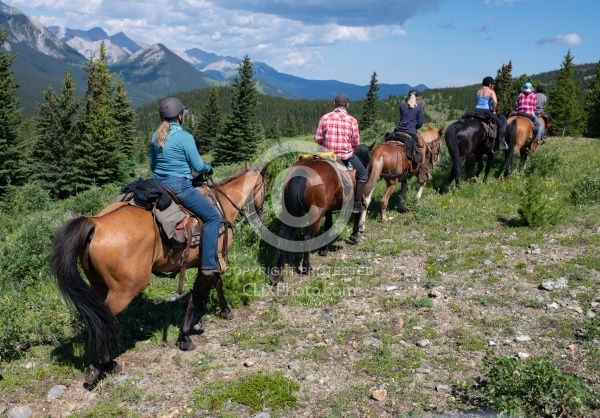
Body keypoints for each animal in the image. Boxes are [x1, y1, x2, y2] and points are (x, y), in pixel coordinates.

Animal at [51, 165, 268, 386]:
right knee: (103, 319)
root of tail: (96, 223)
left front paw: (225, 310)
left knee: (95, 319)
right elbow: (196, 296)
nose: (261, 214)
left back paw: (104, 363)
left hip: (99, 285)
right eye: (266, 187)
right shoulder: (209, 261)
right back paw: (101, 366)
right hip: (126, 289)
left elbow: (217, 284)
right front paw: (185, 338)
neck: (221, 204)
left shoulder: (209, 260)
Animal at [268, 144, 370, 284]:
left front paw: (324, 249)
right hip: (316, 215)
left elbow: (328, 226)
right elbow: (357, 214)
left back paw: (276, 273)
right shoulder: (355, 202)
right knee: (308, 238)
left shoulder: (328, 210)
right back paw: (307, 268)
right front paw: (354, 237)